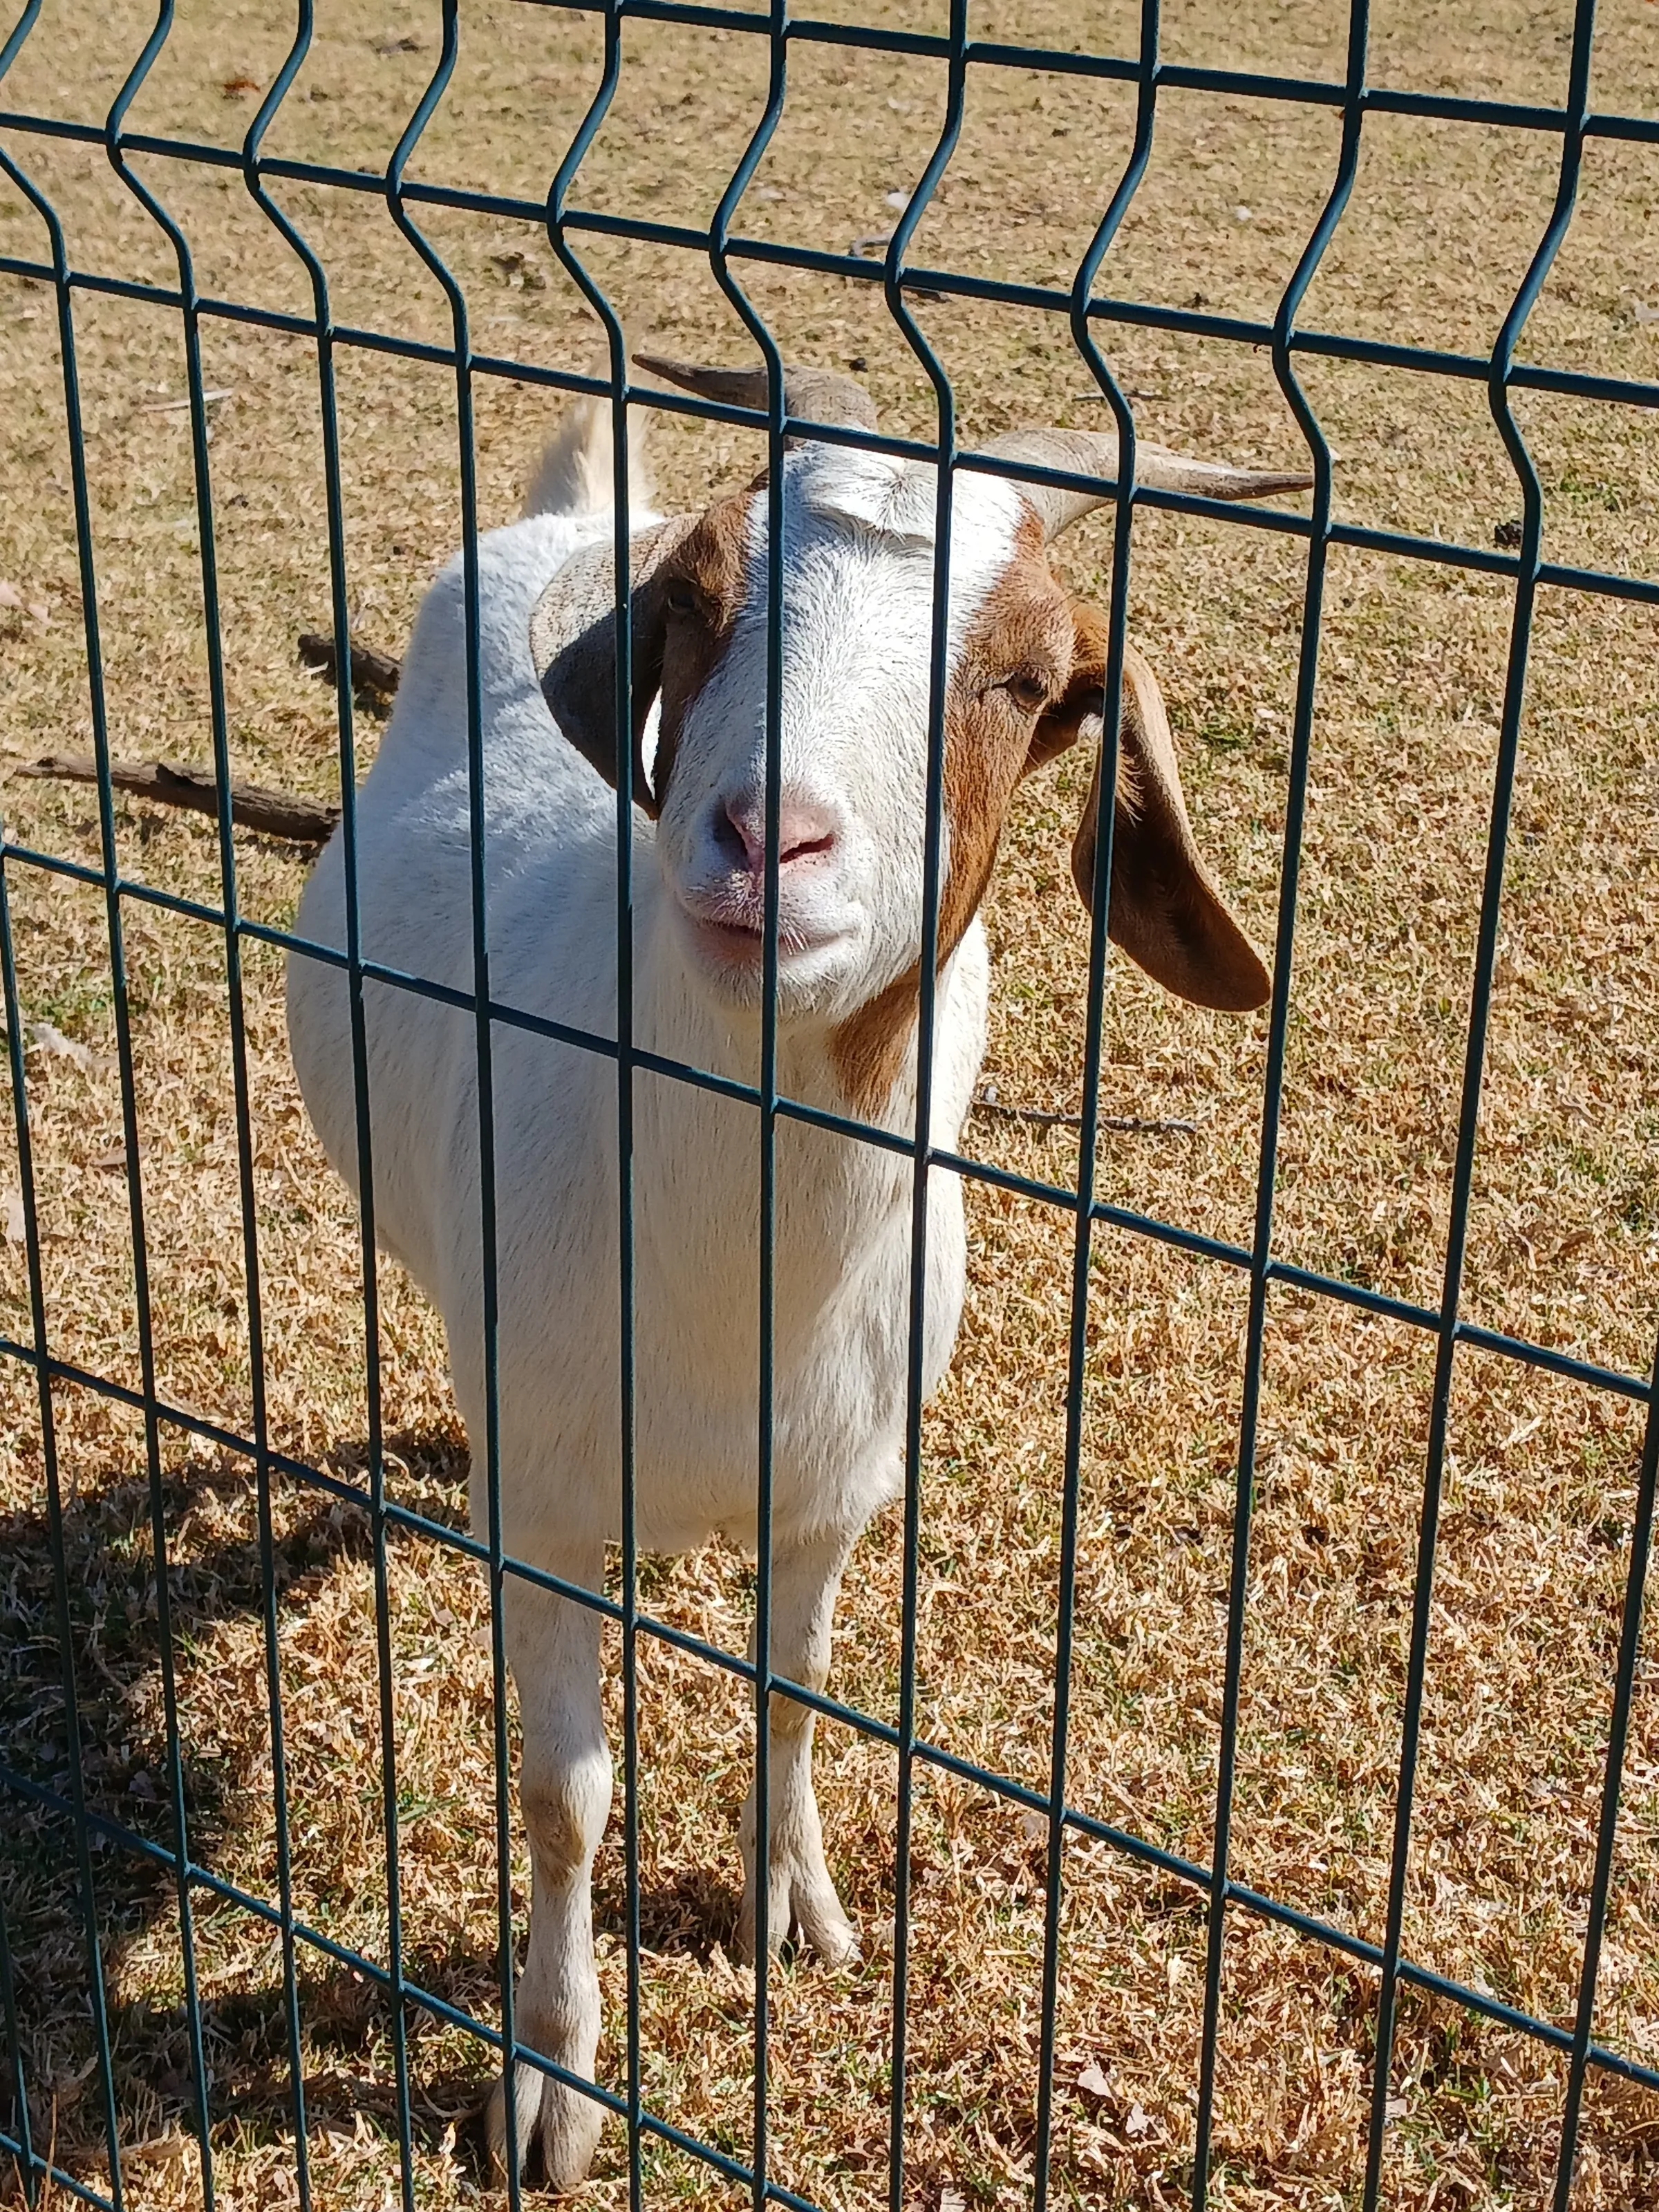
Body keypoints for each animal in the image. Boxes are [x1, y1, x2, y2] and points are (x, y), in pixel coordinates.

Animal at [286, 357, 1308, 2190]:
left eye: (1029, 678)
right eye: (695, 608)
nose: (770, 837)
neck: (733, 1277)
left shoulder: (836, 1484)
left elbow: (799, 1690)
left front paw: (794, 1906)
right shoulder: (549, 1505)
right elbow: (564, 1793)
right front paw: (548, 2088)